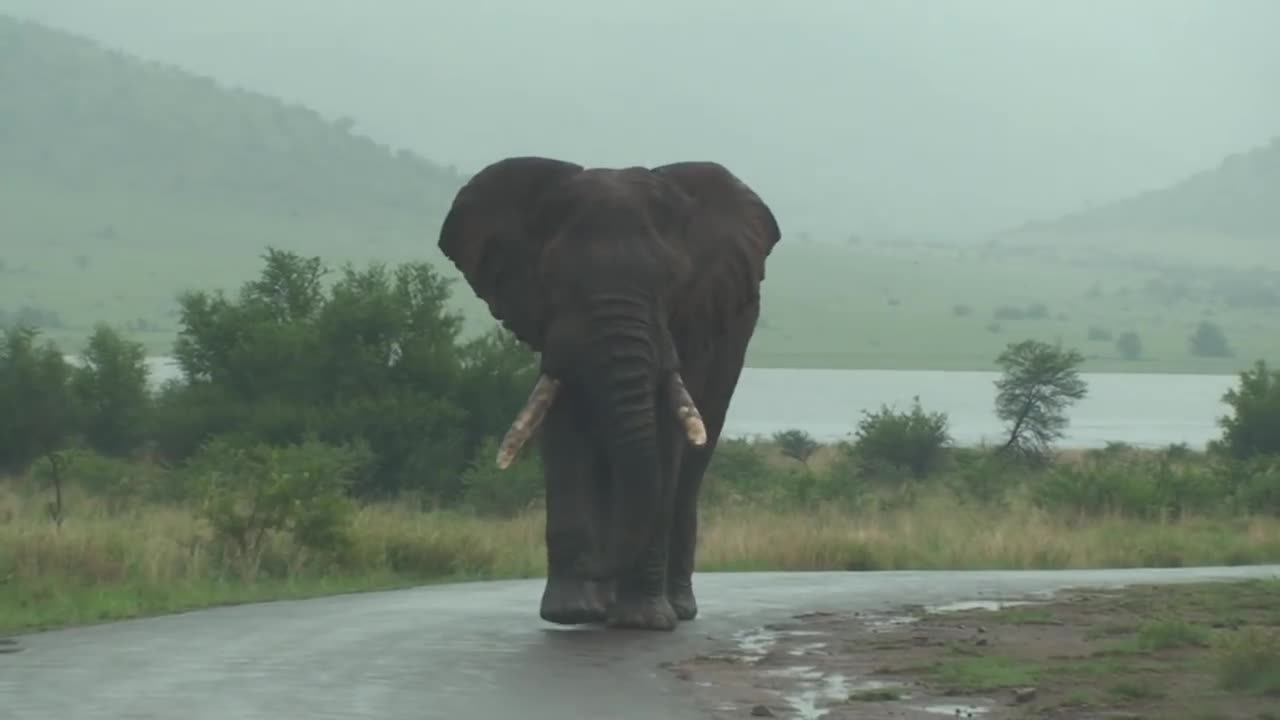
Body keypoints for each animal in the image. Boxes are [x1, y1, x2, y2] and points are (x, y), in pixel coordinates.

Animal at [437, 155, 778, 627]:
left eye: (672, 285)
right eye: (552, 283)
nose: (588, 562)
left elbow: (664, 443)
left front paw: (642, 621)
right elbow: (563, 432)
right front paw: (569, 613)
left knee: (689, 473)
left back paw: (676, 608)